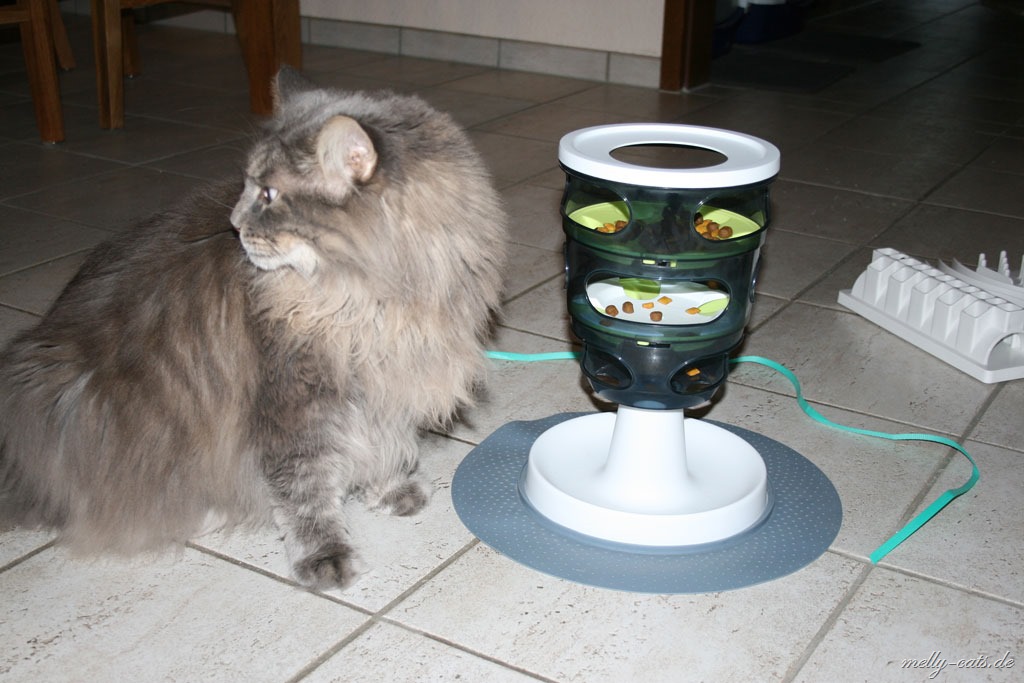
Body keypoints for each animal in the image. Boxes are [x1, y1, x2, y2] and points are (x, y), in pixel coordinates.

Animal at [0, 67, 507, 590]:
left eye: (268, 196)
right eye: (248, 188)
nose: (235, 222)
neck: (370, 301)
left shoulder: (388, 382)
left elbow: (388, 441)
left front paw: (390, 487)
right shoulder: (295, 407)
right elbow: (305, 492)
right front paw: (324, 555)